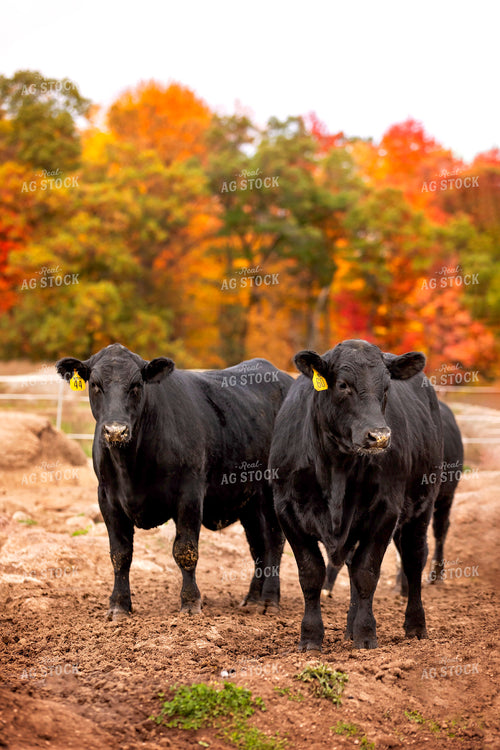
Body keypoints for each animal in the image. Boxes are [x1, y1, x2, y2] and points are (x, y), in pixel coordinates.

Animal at [56, 343, 293, 620]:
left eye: (136, 385)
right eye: (95, 384)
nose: (116, 430)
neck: (132, 467)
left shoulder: (189, 493)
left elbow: (185, 550)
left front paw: (190, 603)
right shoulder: (107, 497)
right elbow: (120, 554)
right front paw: (119, 605)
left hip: (273, 489)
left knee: (274, 540)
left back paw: (269, 601)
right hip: (249, 499)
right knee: (258, 544)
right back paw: (252, 599)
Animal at [269, 339, 443, 651]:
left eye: (386, 387)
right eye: (343, 385)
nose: (379, 436)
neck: (336, 467)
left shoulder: (386, 511)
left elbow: (366, 573)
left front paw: (365, 634)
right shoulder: (286, 510)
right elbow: (311, 573)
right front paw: (310, 637)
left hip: (422, 508)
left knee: (413, 560)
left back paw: (415, 626)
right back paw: (348, 628)